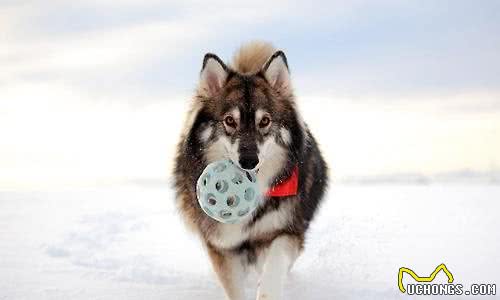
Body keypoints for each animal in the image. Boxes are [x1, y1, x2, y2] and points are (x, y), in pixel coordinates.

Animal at [173, 40, 328, 300]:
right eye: (229, 121)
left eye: (264, 121)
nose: (248, 160)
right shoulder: (223, 245)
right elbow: (235, 288)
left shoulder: (286, 231)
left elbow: (273, 269)